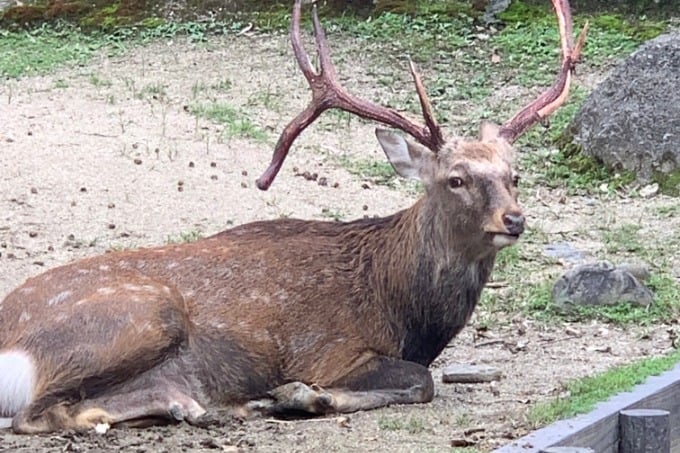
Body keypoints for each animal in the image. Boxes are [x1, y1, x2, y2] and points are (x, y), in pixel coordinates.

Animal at [0, 0, 584, 432]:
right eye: (455, 179)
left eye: (514, 174)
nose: (513, 220)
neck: (403, 308)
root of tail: (10, 343)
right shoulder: (330, 350)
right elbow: (422, 382)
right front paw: (302, 396)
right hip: (141, 315)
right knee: (39, 414)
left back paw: (194, 403)